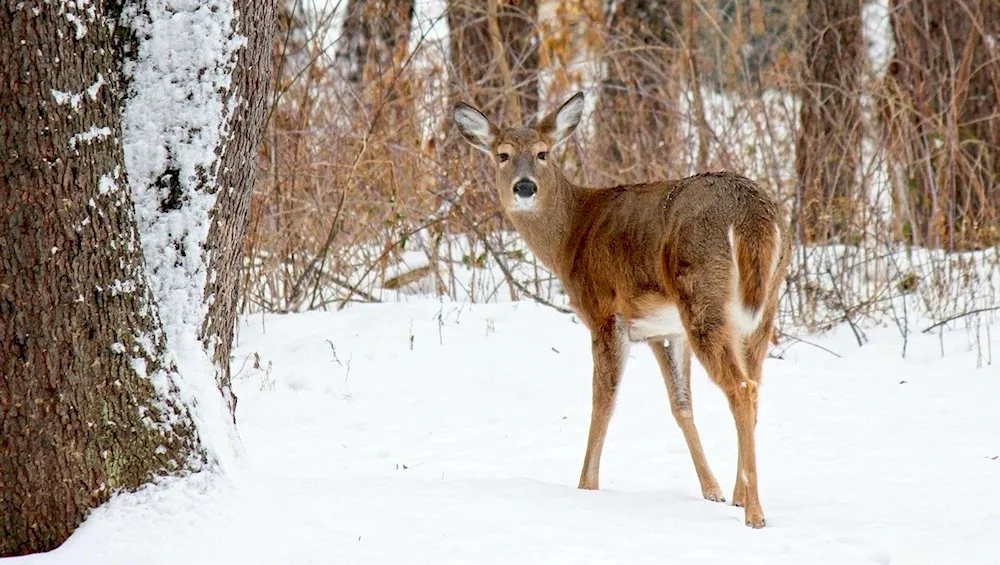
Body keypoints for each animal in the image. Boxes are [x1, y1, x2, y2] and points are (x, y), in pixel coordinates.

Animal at [454, 90, 788, 528]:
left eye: (543, 153)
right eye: (502, 154)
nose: (524, 187)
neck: (570, 236)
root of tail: (751, 216)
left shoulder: (603, 312)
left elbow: (603, 402)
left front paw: (585, 486)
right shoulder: (660, 329)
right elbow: (681, 404)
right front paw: (711, 491)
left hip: (702, 294)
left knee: (743, 387)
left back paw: (754, 514)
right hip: (762, 308)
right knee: (755, 384)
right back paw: (739, 496)